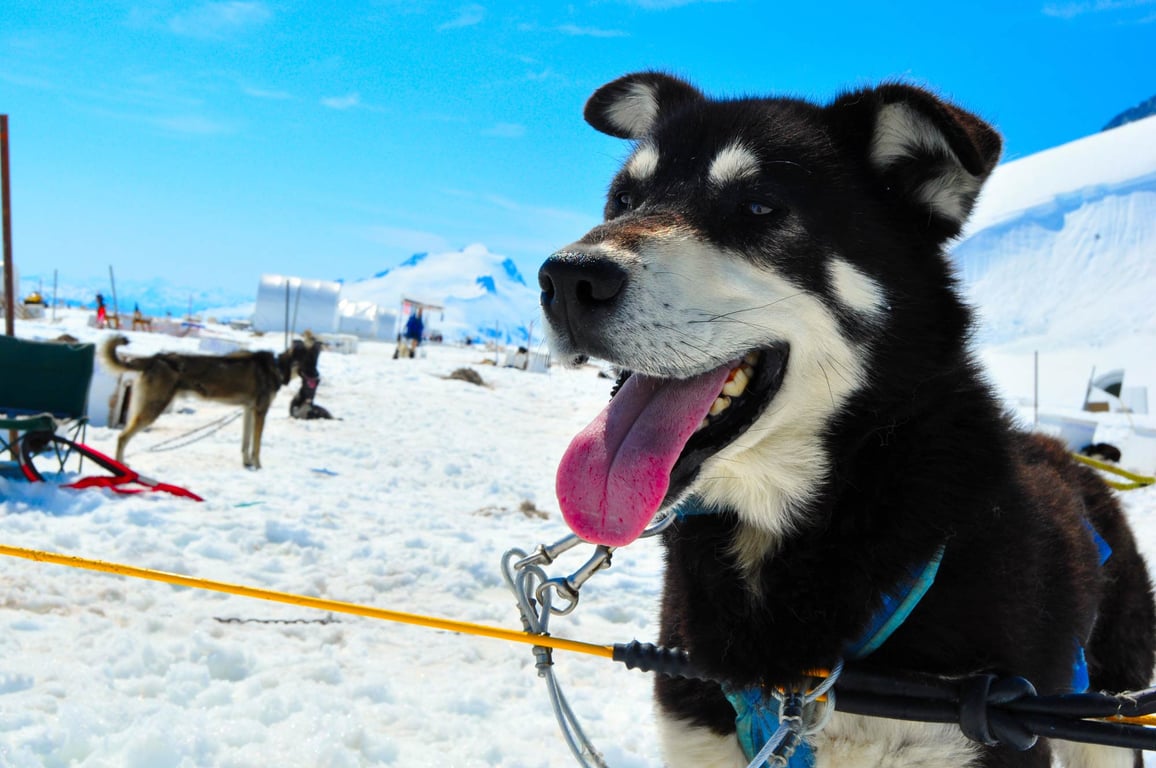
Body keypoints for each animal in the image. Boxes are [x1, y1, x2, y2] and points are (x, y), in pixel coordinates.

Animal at [100, 335, 289, 467]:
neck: (278, 365)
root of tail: (155, 358)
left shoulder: (248, 410)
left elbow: (246, 443)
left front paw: (247, 463)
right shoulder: (261, 412)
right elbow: (257, 447)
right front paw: (258, 466)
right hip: (152, 409)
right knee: (122, 437)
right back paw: (120, 464)